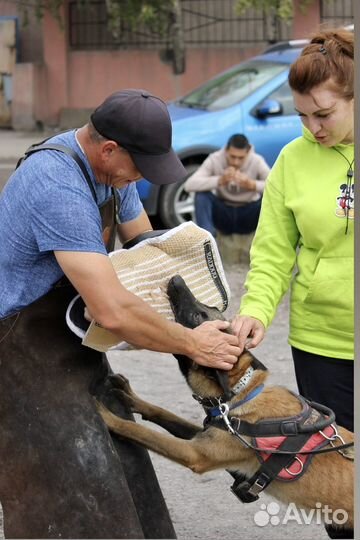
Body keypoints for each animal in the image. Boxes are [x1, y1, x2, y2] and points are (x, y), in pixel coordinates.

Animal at [98, 276, 354, 536]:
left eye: (198, 315)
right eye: (208, 307)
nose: (177, 279)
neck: (241, 394)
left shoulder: (195, 454)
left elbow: (139, 431)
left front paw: (105, 415)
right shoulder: (207, 433)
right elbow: (163, 413)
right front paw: (130, 397)